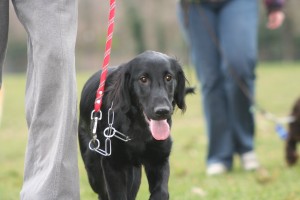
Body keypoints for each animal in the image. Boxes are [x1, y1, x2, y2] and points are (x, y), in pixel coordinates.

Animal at [78, 50, 189, 199]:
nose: (162, 111)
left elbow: (162, 192)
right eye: (143, 79)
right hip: (94, 170)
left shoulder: (159, 159)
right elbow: (117, 195)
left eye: (168, 77)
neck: (139, 128)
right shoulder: (112, 164)